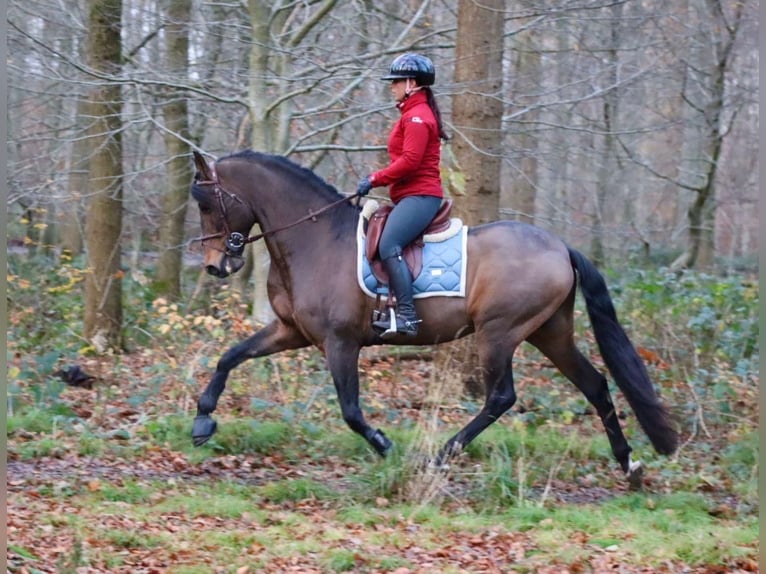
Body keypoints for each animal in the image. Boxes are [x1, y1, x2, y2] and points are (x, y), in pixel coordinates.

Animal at [188, 150, 680, 490]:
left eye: (208, 204)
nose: (215, 266)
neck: (317, 239)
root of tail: (560, 246)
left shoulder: (339, 342)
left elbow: (350, 410)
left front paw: (386, 446)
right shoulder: (291, 331)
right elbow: (230, 357)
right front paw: (202, 421)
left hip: (499, 333)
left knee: (501, 397)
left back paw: (441, 456)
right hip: (550, 332)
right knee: (595, 385)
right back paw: (629, 465)